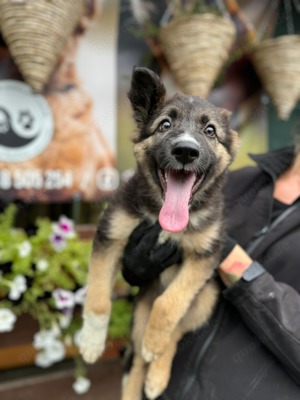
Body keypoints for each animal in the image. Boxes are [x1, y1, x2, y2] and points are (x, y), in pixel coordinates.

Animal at [79, 67, 239, 398]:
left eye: (210, 131)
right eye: (165, 124)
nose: (186, 151)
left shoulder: (204, 257)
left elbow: (169, 304)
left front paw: (156, 342)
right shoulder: (110, 236)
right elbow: (98, 299)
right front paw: (90, 341)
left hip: (206, 298)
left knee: (174, 334)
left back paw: (157, 370)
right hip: (141, 311)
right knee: (138, 359)